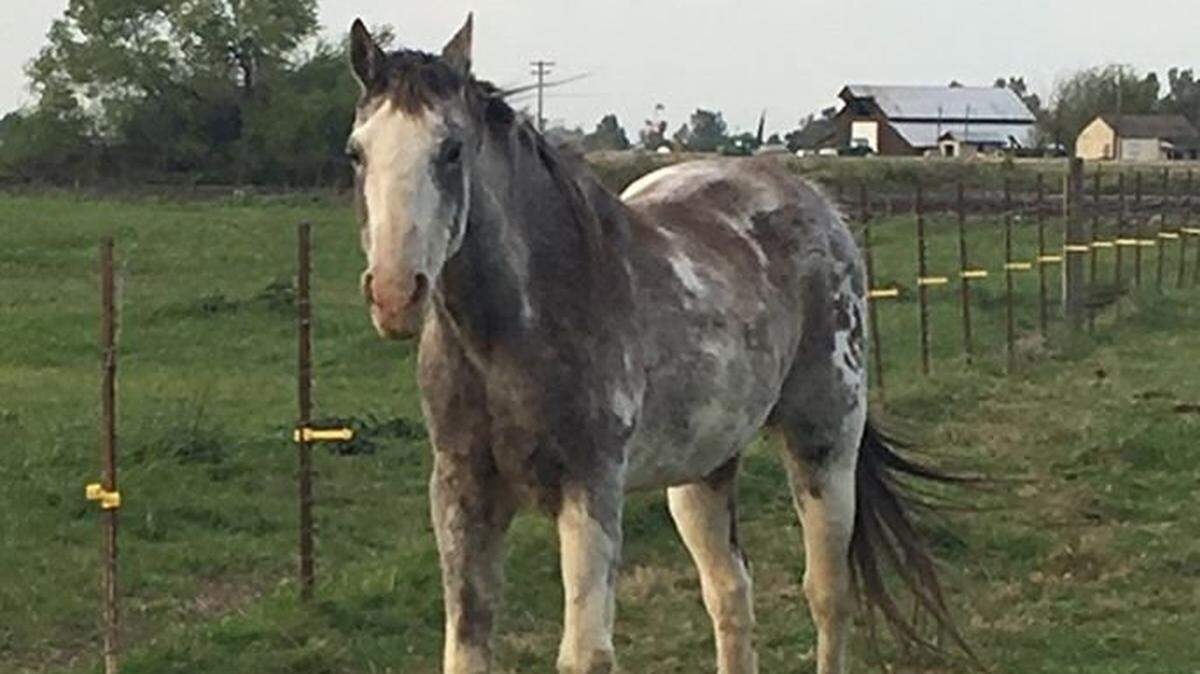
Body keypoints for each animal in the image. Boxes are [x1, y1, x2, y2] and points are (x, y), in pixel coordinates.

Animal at [345, 14, 965, 674]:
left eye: (452, 149)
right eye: (356, 152)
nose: (394, 294)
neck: (510, 337)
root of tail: (819, 203)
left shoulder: (590, 489)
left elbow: (585, 654)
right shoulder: (463, 493)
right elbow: (467, 647)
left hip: (825, 445)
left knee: (828, 594)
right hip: (703, 470)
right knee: (730, 594)